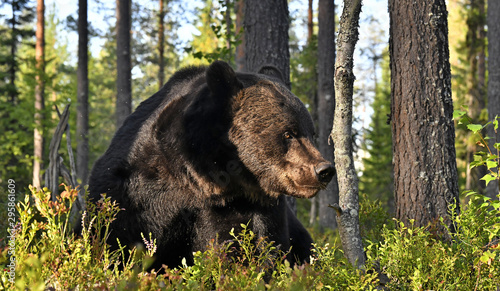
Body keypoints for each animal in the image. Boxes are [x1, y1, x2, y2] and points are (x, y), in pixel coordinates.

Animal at [88, 61, 336, 272]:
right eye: (288, 133)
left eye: (312, 133)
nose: (324, 170)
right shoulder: (137, 191)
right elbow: (116, 234)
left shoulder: (244, 207)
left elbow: (254, 247)